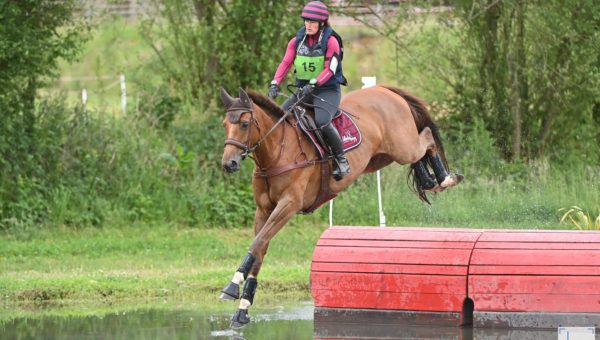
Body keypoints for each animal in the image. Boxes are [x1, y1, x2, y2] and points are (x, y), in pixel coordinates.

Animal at [218, 84, 462, 326]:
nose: (229, 164)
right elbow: (260, 248)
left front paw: (231, 286)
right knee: (417, 156)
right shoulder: (263, 211)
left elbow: (257, 243)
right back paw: (431, 181)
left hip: (403, 146)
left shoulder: (289, 205)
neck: (278, 149)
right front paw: (243, 309)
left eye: (244, 124)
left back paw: (446, 178)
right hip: (383, 156)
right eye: (225, 125)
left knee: (427, 137)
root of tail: (385, 89)